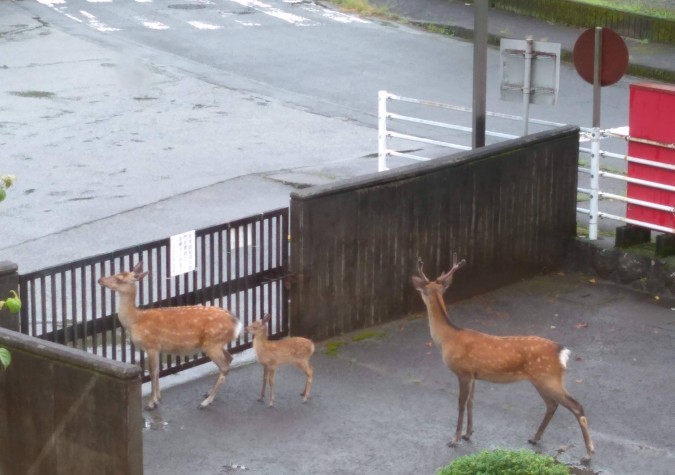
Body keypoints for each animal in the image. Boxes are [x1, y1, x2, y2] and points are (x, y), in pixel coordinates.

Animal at [96, 262, 242, 410]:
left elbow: (153, 372)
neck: (135, 320)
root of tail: (236, 324)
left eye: (119, 278)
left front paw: (151, 403)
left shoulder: (152, 345)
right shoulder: (157, 348)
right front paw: (158, 399)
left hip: (212, 343)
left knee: (224, 366)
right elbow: (157, 372)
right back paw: (207, 394)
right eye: (116, 273)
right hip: (217, 343)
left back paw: (206, 402)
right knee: (229, 358)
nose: (100, 279)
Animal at [412, 256, 596, 464]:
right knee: (552, 405)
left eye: (422, 291)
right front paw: (468, 434)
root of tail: (562, 352)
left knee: (576, 406)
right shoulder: (474, 374)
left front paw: (455, 439)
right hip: (542, 379)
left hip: (548, 377)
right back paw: (534, 438)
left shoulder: (463, 372)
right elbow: (471, 402)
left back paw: (588, 453)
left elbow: (460, 403)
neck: (448, 338)